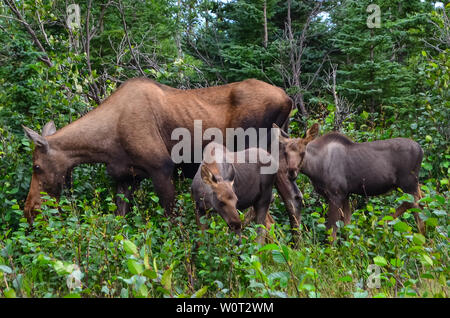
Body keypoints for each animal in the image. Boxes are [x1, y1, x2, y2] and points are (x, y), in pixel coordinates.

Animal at [22, 77, 302, 226]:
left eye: (36, 166)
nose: (29, 210)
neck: (104, 144)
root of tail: (288, 99)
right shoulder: (126, 178)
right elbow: (120, 225)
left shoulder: (162, 169)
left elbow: (172, 224)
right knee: (292, 201)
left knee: (267, 216)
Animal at [276, 123, 428, 240]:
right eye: (285, 152)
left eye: (303, 152)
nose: (291, 172)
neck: (315, 168)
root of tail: (421, 150)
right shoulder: (345, 194)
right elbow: (346, 226)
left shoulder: (336, 194)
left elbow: (331, 232)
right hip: (411, 185)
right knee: (422, 201)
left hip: (408, 183)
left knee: (417, 210)